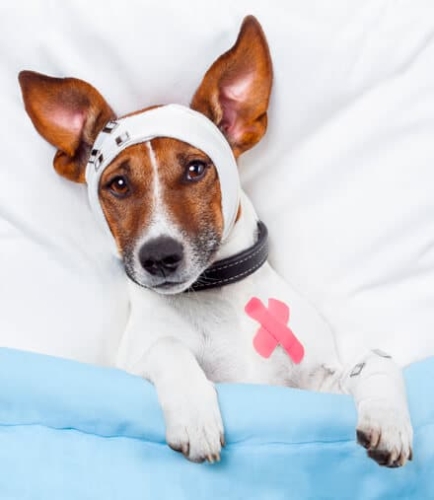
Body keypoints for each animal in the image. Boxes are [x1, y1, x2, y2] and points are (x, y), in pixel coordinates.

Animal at [19, 15, 413, 467]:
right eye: (118, 184)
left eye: (195, 169)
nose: (159, 256)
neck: (216, 296)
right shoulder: (133, 362)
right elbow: (168, 347)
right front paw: (195, 416)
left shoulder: (316, 387)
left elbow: (377, 360)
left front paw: (389, 420)